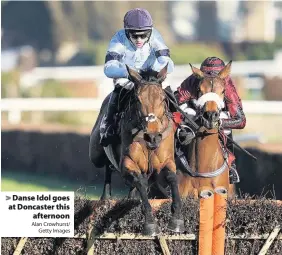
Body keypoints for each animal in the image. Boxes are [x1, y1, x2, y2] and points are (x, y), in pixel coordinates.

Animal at [89, 64, 184, 236]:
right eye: (138, 99)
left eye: (162, 99)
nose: (152, 137)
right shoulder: (128, 164)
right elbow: (140, 182)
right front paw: (150, 224)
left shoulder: (166, 163)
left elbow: (172, 178)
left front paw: (177, 219)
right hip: (96, 154)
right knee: (106, 166)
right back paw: (106, 197)